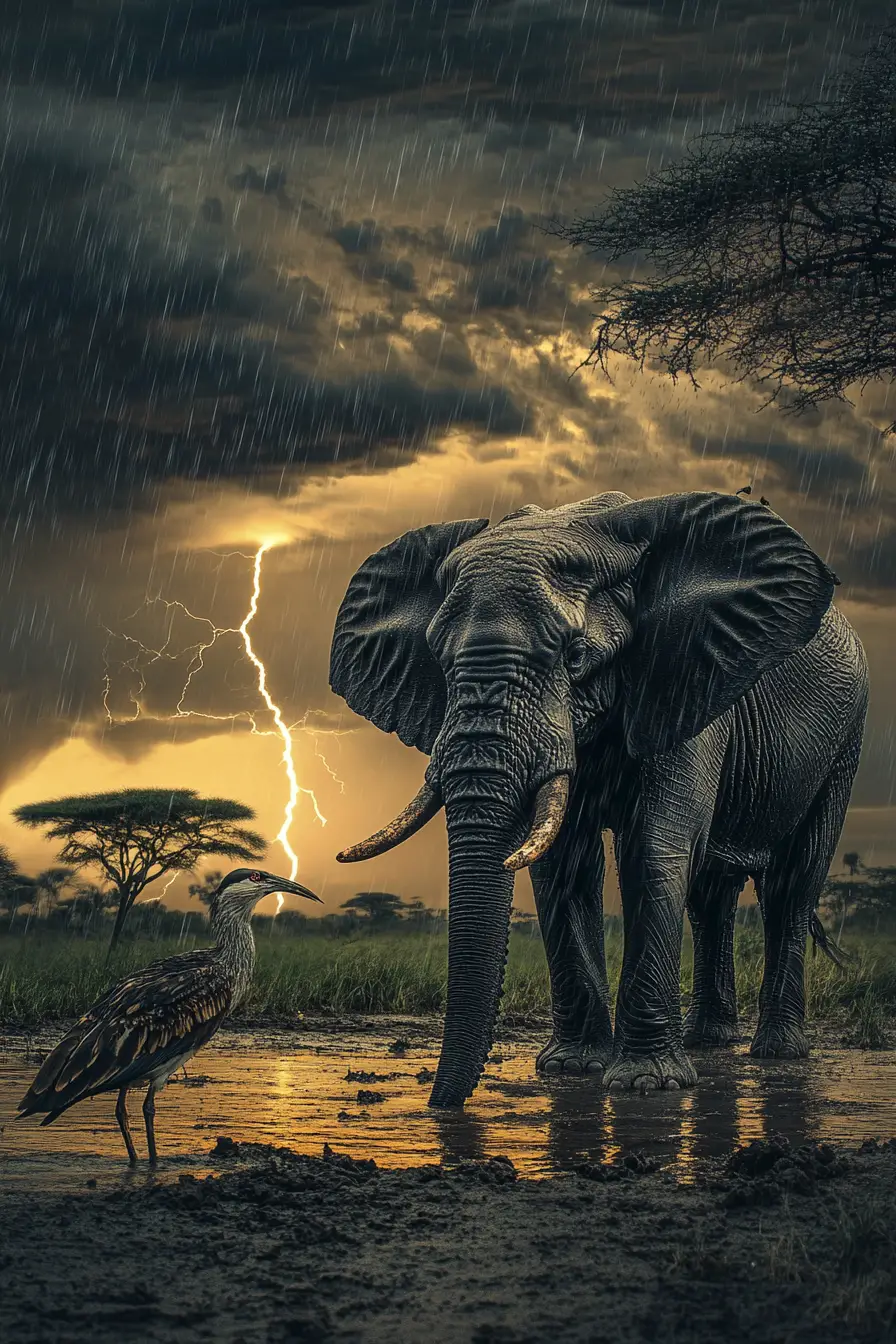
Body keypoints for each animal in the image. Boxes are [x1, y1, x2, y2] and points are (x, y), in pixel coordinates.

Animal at [329, 490, 868, 1108]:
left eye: (576, 657)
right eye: (438, 660)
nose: (439, 1107)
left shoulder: (681, 676)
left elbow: (653, 849)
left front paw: (646, 1083)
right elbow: (563, 863)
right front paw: (572, 1068)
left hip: (846, 740)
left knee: (792, 882)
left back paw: (777, 1053)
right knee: (711, 894)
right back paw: (709, 1042)